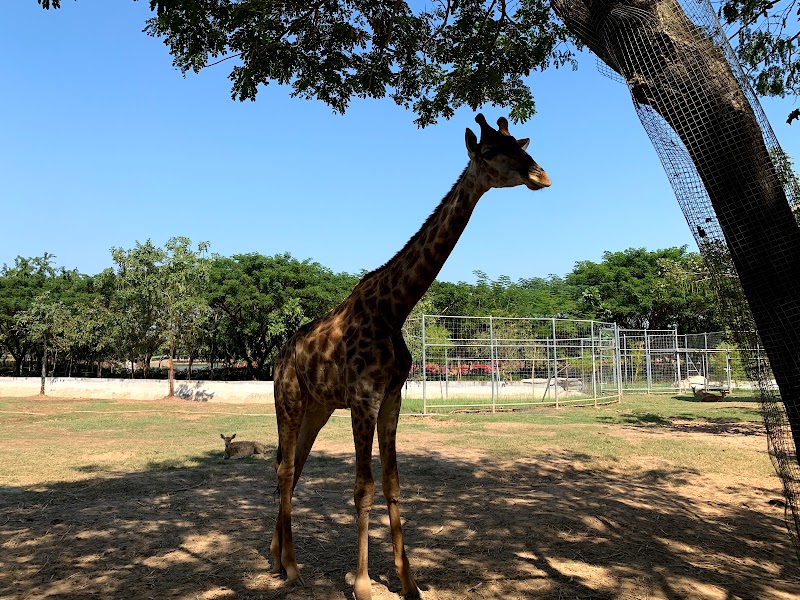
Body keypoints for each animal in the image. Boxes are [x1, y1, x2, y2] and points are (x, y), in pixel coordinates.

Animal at [268, 113, 552, 600]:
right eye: (491, 152)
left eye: (521, 144)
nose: (541, 175)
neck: (394, 307)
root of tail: (279, 358)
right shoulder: (364, 398)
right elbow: (362, 488)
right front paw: (363, 584)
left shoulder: (392, 397)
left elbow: (392, 484)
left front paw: (409, 582)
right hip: (288, 400)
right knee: (284, 469)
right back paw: (290, 566)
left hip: (318, 407)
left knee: (292, 466)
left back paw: (276, 556)